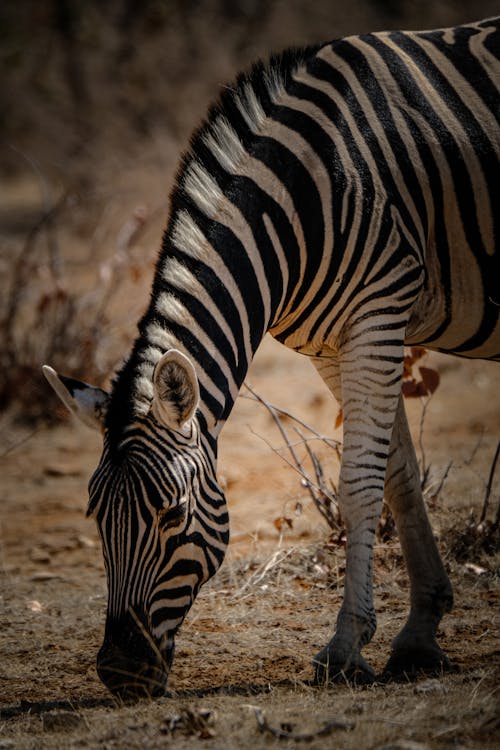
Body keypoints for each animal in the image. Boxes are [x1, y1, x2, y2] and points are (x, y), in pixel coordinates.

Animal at [44, 17, 500, 700]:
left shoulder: (378, 312)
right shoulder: (334, 344)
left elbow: (359, 482)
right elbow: (398, 475)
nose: (121, 674)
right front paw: (420, 632)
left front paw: (346, 647)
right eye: (96, 516)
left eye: (172, 514)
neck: (305, 190)